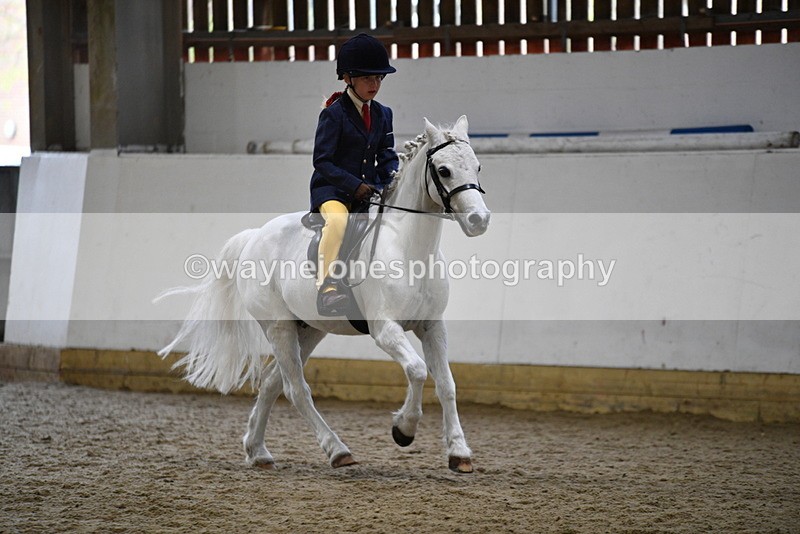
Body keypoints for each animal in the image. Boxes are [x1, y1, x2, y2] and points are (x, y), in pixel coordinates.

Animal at [158, 115, 491, 473]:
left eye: (478, 167)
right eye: (443, 170)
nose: (479, 220)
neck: (409, 248)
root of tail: (254, 236)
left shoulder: (433, 326)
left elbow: (447, 385)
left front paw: (459, 452)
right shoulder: (385, 329)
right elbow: (416, 370)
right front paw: (403, 429)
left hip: (309, 329)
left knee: (273, 382)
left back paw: (258, 451)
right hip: (278, 327)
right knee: (296, 389)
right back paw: (337, 450)